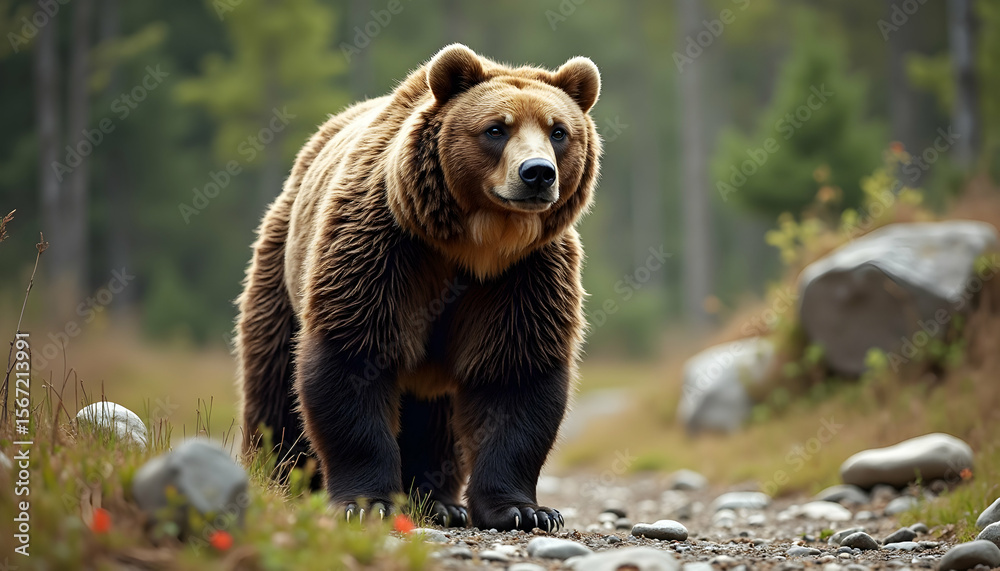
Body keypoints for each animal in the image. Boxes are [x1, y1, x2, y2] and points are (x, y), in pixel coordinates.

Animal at [235, 43, 601, 532]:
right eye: (496, 128)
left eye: (558, 131)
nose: (538, 173)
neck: (474, 243)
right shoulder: (386, 247)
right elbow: (353, 356)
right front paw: (366, 501)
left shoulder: (524, 276)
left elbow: (515, 377)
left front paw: (526, 511)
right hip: (281, 264)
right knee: (273, 379)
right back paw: (281, 478)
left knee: (435, 417)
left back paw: (438, 501)